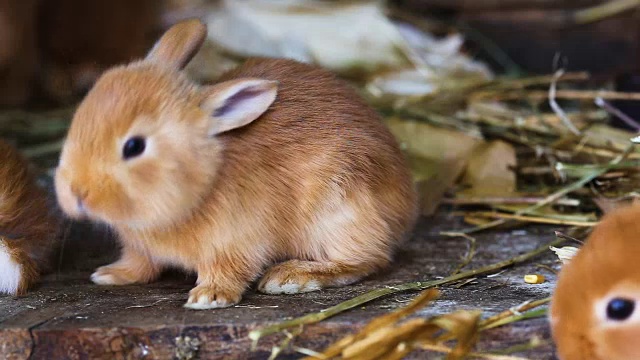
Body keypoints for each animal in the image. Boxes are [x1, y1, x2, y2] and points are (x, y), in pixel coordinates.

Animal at [53, 18, 416, 308]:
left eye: (134, 146)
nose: (75, 193)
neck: (204, 178)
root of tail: (405, 205)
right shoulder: (140, 248)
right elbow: (141, 264)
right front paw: (110, 274)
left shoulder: (236, 243)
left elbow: (228, 272)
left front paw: (208, 298)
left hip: (341, 208)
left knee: (367, 259)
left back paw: (291, 276)